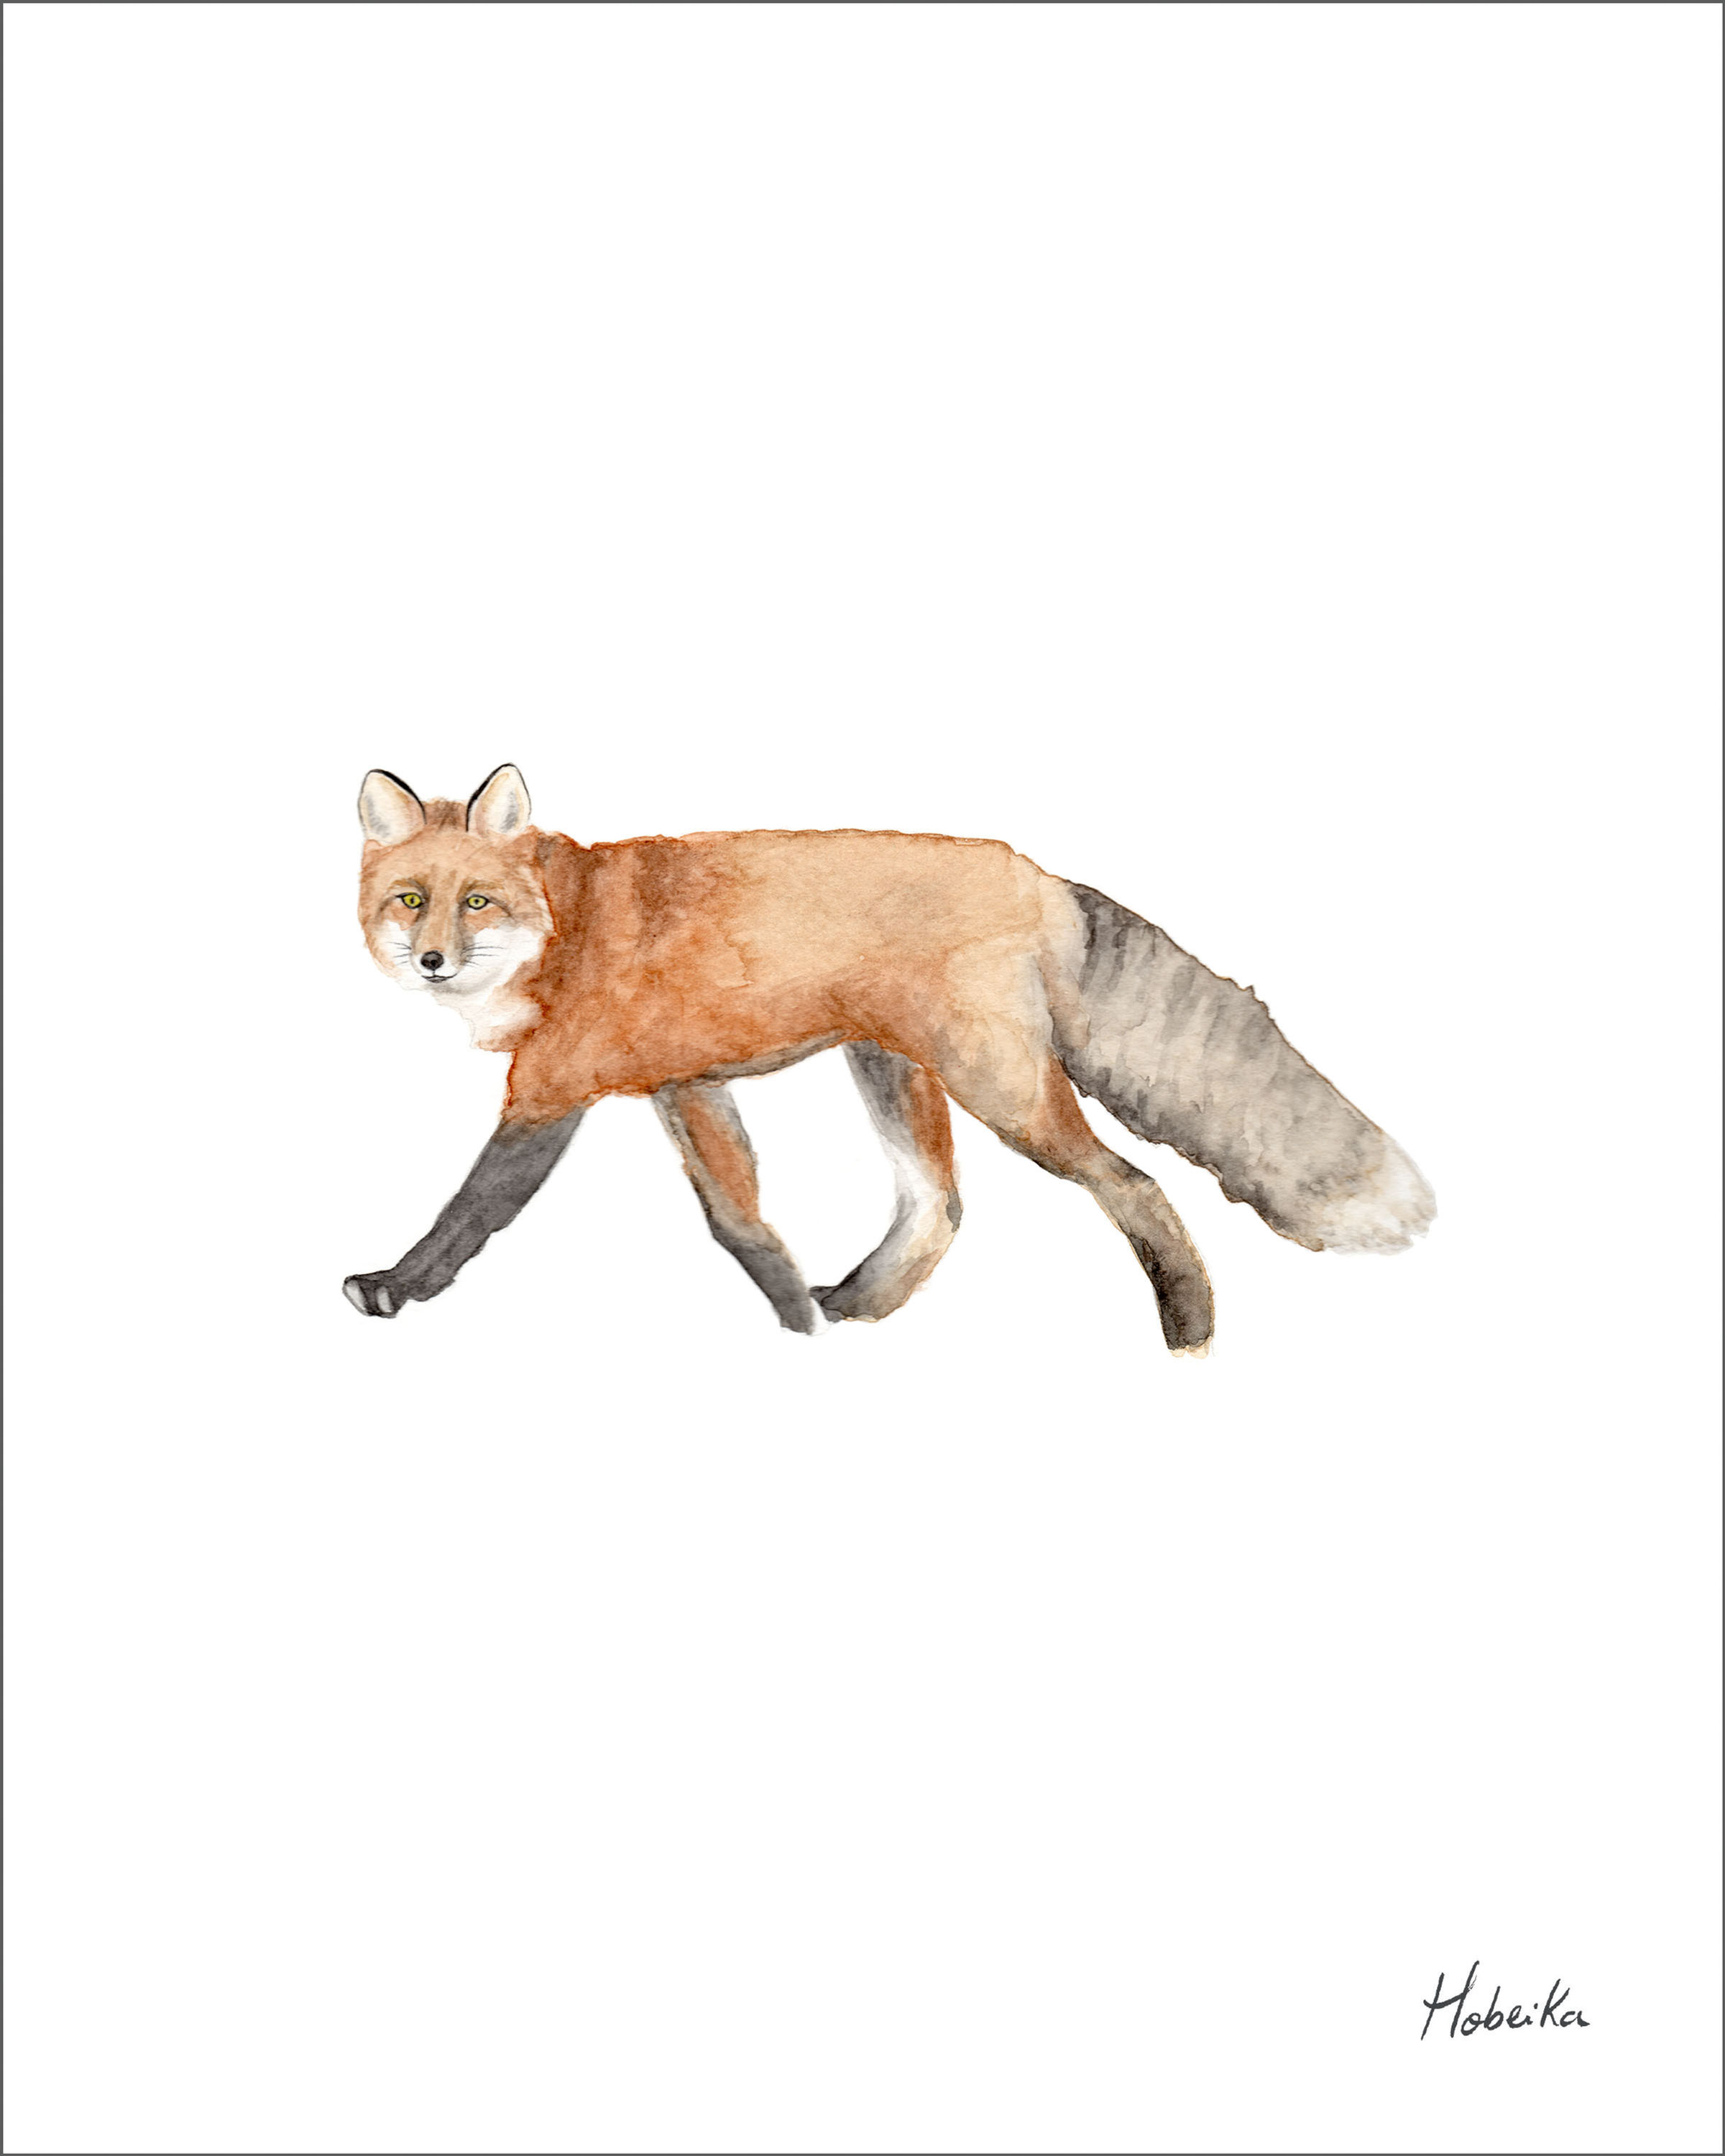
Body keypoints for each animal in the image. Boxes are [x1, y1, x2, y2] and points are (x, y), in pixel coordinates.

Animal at [344, 765, 1434, 1351]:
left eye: (475, 901)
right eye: (411, 900)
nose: (433, 960)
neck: (564, 928)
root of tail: (1039, 874)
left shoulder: (553, 1088)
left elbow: (469, 1212)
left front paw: (396, 1286)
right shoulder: (685, 1087)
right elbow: (738, 1221)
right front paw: (796, 1318)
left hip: (1003, 1090)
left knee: (1134, 1184)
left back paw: (1191, 1332)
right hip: (898, 1074)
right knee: (939, 1207)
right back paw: (862, 1306)